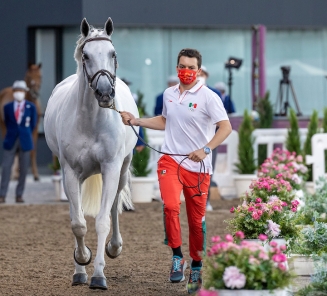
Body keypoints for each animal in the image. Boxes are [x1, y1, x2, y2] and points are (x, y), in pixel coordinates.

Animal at [43, 17, 138, 290]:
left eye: (112, 53)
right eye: (86, 55)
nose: (105, 93)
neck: (91, 121)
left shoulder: (111, 168)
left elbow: (102, 221)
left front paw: (98, 276)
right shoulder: (70, 173)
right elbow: (78, 224)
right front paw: (81, 261)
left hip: (122, 171)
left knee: (115, 205)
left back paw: (114, 248)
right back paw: (80, 270)